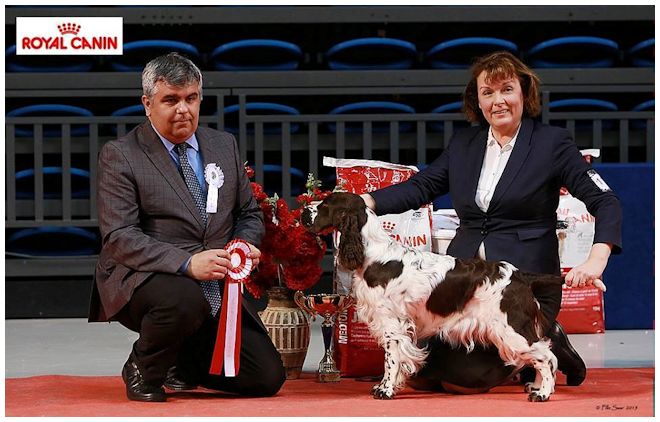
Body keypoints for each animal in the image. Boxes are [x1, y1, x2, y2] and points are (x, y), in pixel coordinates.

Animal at [302, 192, 564, 402]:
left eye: (325, 205)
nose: (303, 211)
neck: (374, 254)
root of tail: (519, 275)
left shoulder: (392, 324)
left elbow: (391, 359)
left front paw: (385, 390)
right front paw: (387, 386)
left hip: (512, 330)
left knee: (546, 356)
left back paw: (542, 393)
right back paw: (537, 387)